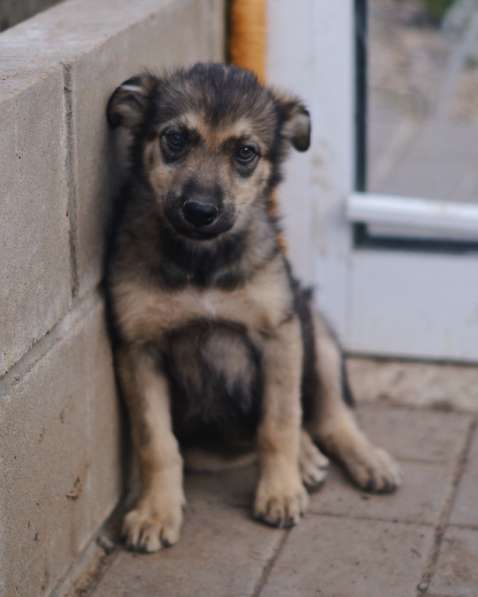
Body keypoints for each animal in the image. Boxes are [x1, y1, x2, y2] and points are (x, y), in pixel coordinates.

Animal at [104, 62, 400, 552]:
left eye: (246, 152)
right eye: (175, 139)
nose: (200, 211)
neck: (201, 262)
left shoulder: (279, 332)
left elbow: (279, 421)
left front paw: (279, 492)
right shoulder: (139, 348)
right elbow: (156, 442)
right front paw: (155, 512)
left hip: (315, 329)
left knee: (329, 415)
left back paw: (362, 460)